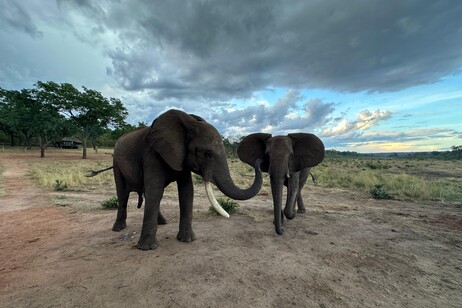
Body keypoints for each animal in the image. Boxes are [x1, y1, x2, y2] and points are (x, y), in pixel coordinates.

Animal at [108, 109, 262, 249]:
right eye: (207, 154)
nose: (259, 160)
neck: (189, 123)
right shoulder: (151, 154)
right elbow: (156, 191)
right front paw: (146, 248)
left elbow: (187, 191)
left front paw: (187, 240)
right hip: (116, 163)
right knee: (123, 195)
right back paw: (118, 228)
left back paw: (162, 222)